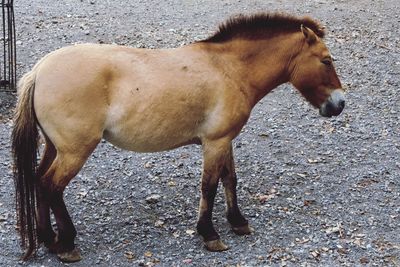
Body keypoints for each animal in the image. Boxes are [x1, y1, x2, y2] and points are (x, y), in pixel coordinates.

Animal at [11, 13, 344, 264]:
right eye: (326, 61)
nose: (339, 104)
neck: (229, 69)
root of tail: (38, 72)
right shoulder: (215, 142)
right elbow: (210, 186)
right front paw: (209, 234)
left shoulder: (225, 140)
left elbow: (230, 180)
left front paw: (238, 222)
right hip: (74, 151)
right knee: (51, 186)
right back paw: (66, 244)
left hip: (54, 147)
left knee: (39, 182)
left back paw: (48, 239)